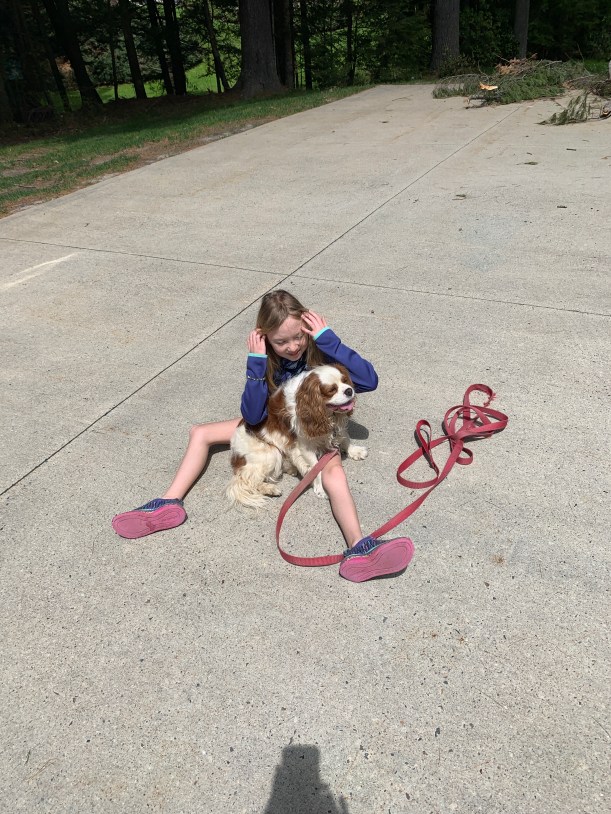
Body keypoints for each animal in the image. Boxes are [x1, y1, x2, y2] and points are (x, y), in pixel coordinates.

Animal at [226, 364, 368, 508]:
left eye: (345, 381)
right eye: (332, 390)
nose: (349, 390)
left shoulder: (336, 427)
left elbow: (345, 438)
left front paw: (355, 451)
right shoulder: (305, 446)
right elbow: (315, 469)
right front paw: (320, 489)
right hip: (270, 454)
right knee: (246, 481)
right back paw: (270, 488)